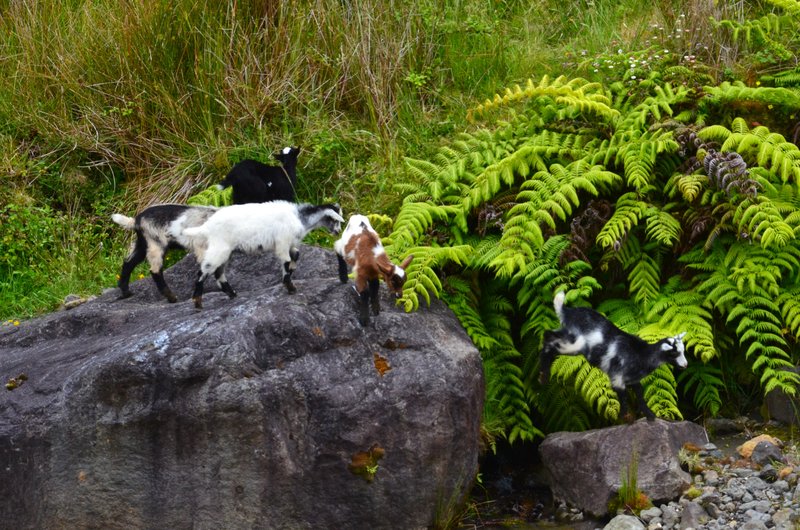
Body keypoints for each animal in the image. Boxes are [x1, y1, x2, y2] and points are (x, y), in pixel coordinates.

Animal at [182, 200, 344, 309]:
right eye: (335, 220)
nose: (338, 232)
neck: (300, 219)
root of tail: (206, 226)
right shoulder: (282, 242)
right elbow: (286, 261)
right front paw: (289, 286)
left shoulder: (289, 244)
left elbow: (295, 256)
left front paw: (289, 279)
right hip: (219, 248)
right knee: (204, 271)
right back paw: (197, 302)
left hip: (225, 251)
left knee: (218, 273)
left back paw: (232, 294)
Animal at [540, 291, 687, 421]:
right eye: (675, 353)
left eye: (683, 350)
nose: (685, 365)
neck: (643, 353)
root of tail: (567, 312)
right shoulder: (617, 378)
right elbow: (623, 398)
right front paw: (623, 418)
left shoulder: (633, 380)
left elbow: (640, 396)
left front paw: (650, 416)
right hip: (574, 343)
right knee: (550, 342)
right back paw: (543, 376)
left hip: (566, 335)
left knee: (548, 335)